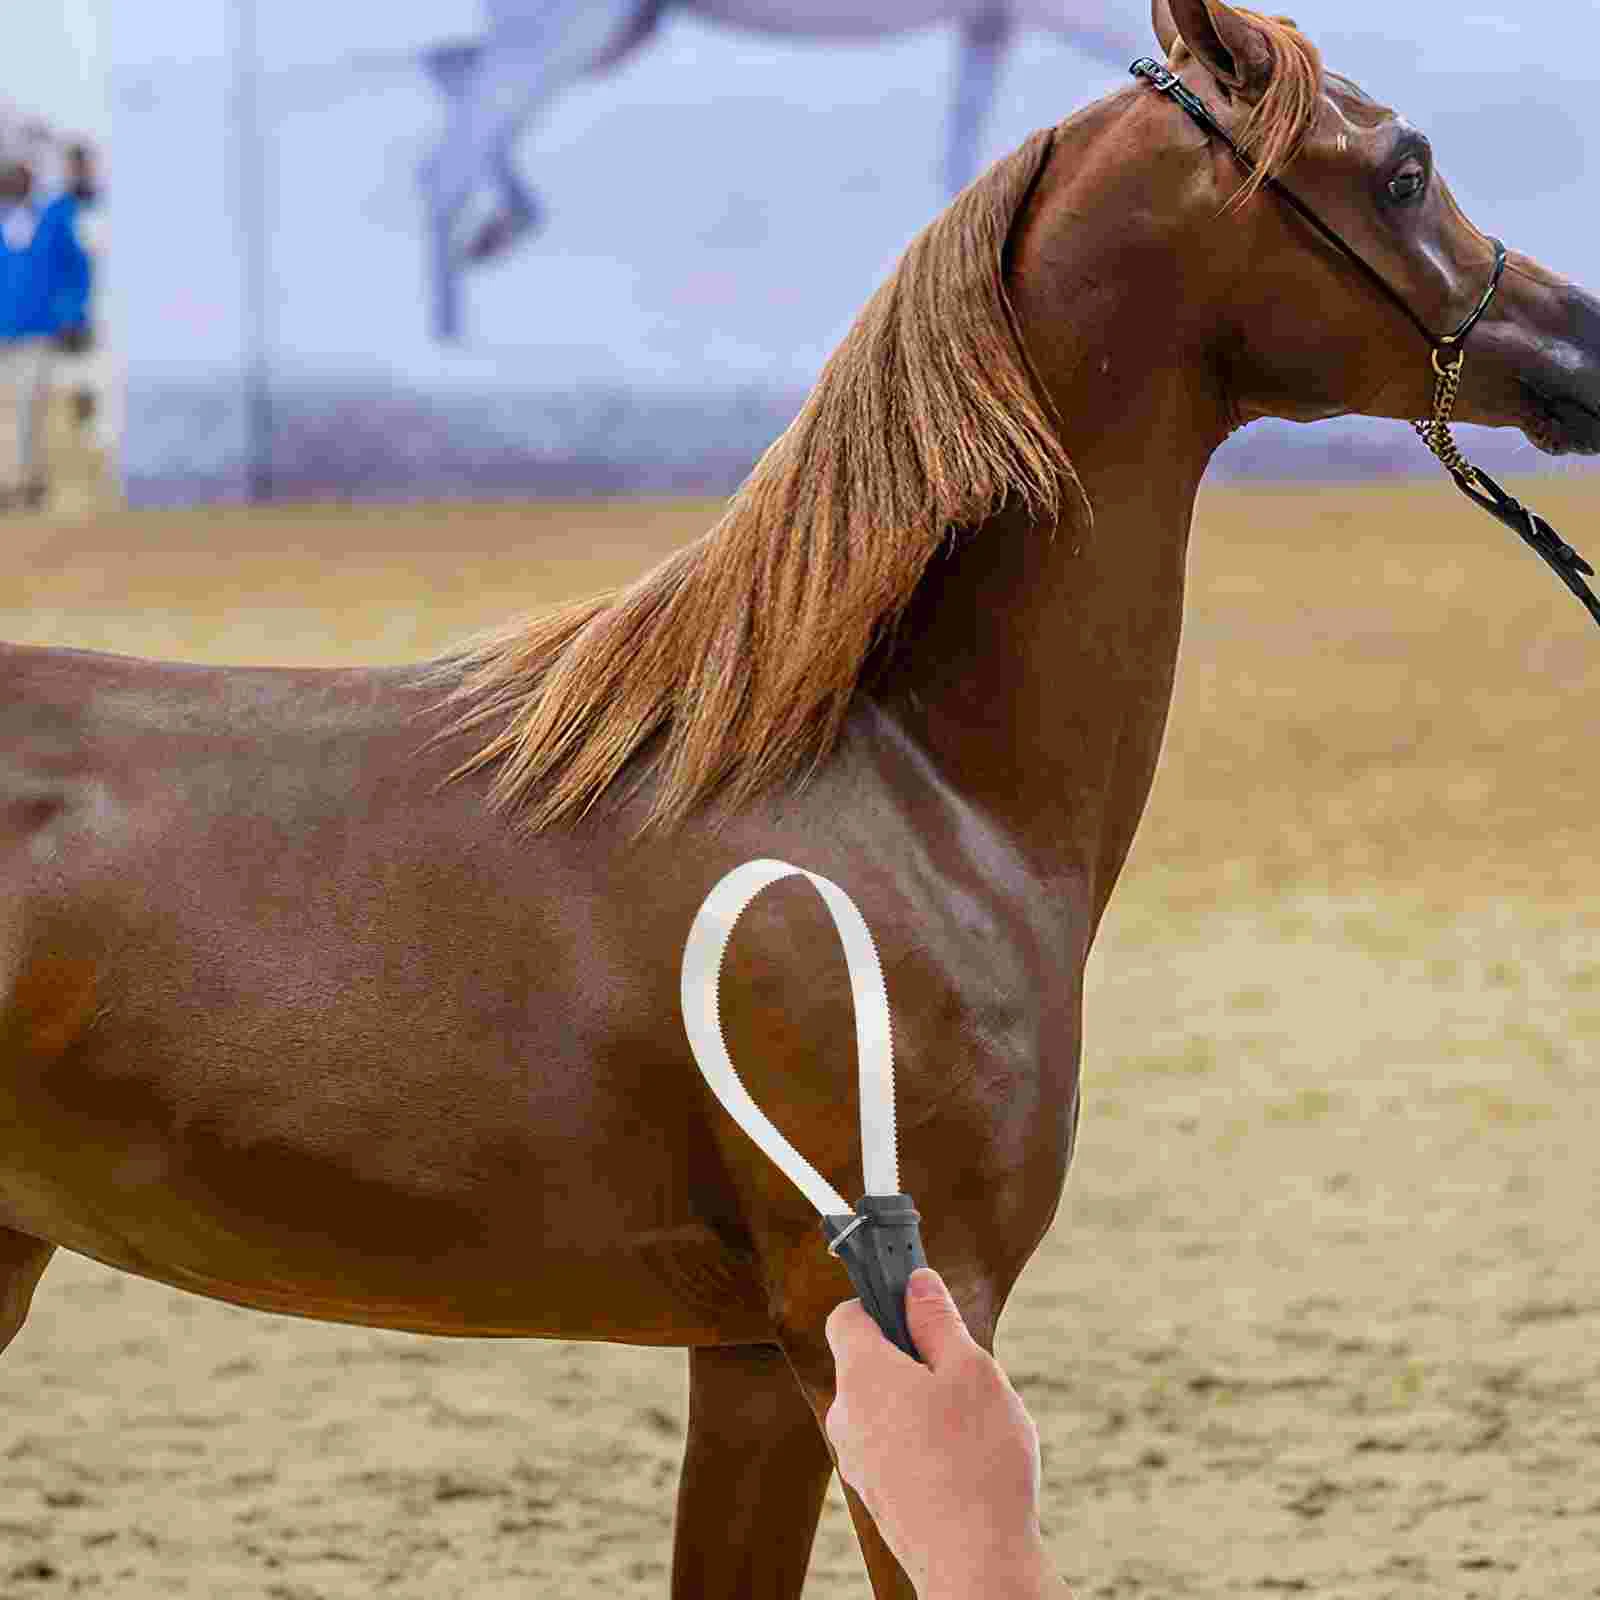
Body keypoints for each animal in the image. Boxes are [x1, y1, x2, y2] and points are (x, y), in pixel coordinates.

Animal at [419, 0, 1145, 337]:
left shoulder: (991, 26)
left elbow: (960, 160)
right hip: (571, 29)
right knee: (449, 153)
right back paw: (454, 340)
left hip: (616, 30)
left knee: (453, 79)